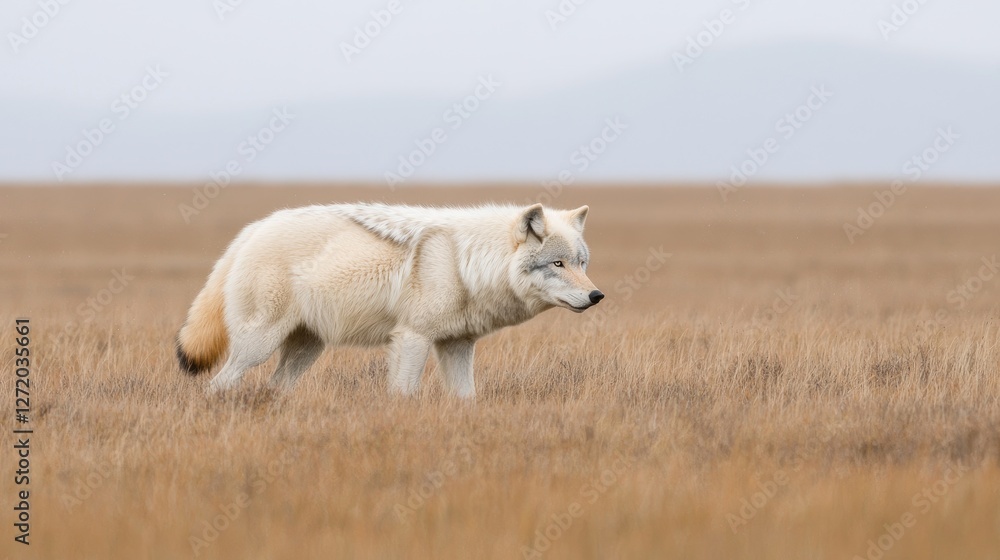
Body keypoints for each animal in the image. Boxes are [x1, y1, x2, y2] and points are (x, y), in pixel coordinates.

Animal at [176, 202, 603, 398]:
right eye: (558, 263)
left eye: (581, 263)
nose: (596, 295)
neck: (464, 263)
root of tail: (253, 228)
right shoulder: (412, 338)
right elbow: (404, 395)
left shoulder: (456, 345)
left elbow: (466, 397)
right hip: (258, 347)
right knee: (218, 383)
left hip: (306, 349)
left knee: (275, 387)